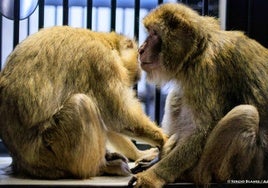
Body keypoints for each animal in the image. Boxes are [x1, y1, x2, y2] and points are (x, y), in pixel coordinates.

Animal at [0, 26, 168, 179]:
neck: (103, 41)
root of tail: (21, 164)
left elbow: (110, 122)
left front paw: (139, 153)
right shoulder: (101, 61)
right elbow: (118, 116)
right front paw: (164, 141)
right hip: (47, 154)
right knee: (81, 104)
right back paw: (100, 167)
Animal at [129, 2, 268, 187]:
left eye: (154, 33)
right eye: (150, 31)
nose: (141, 49)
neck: (198, 52)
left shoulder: (206, 71)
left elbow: (200, 131)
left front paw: (153, 176)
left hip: (242, 170)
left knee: (245, 114)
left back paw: (183, 173)